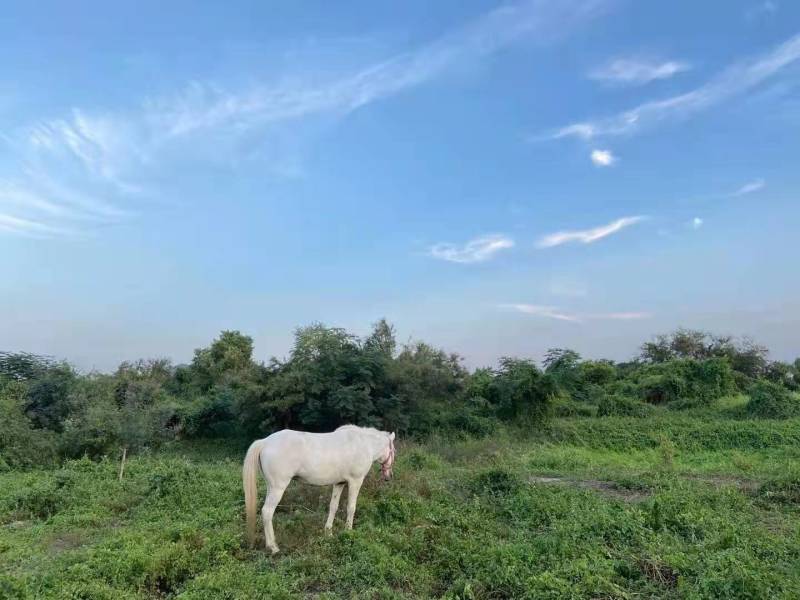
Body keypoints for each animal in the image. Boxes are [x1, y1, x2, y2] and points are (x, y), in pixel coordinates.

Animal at [242, 424, 396, 554]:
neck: (363, 444)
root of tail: (265, 442)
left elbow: (333, 506)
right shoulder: (355, 481)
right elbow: (351, 507)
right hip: (278, 488)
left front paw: (328, 533)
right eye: (393, 450)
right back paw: (273, 547)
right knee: (267, 512)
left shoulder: (339, 483)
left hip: (271, 487)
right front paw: (349, 531)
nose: (389, 476)